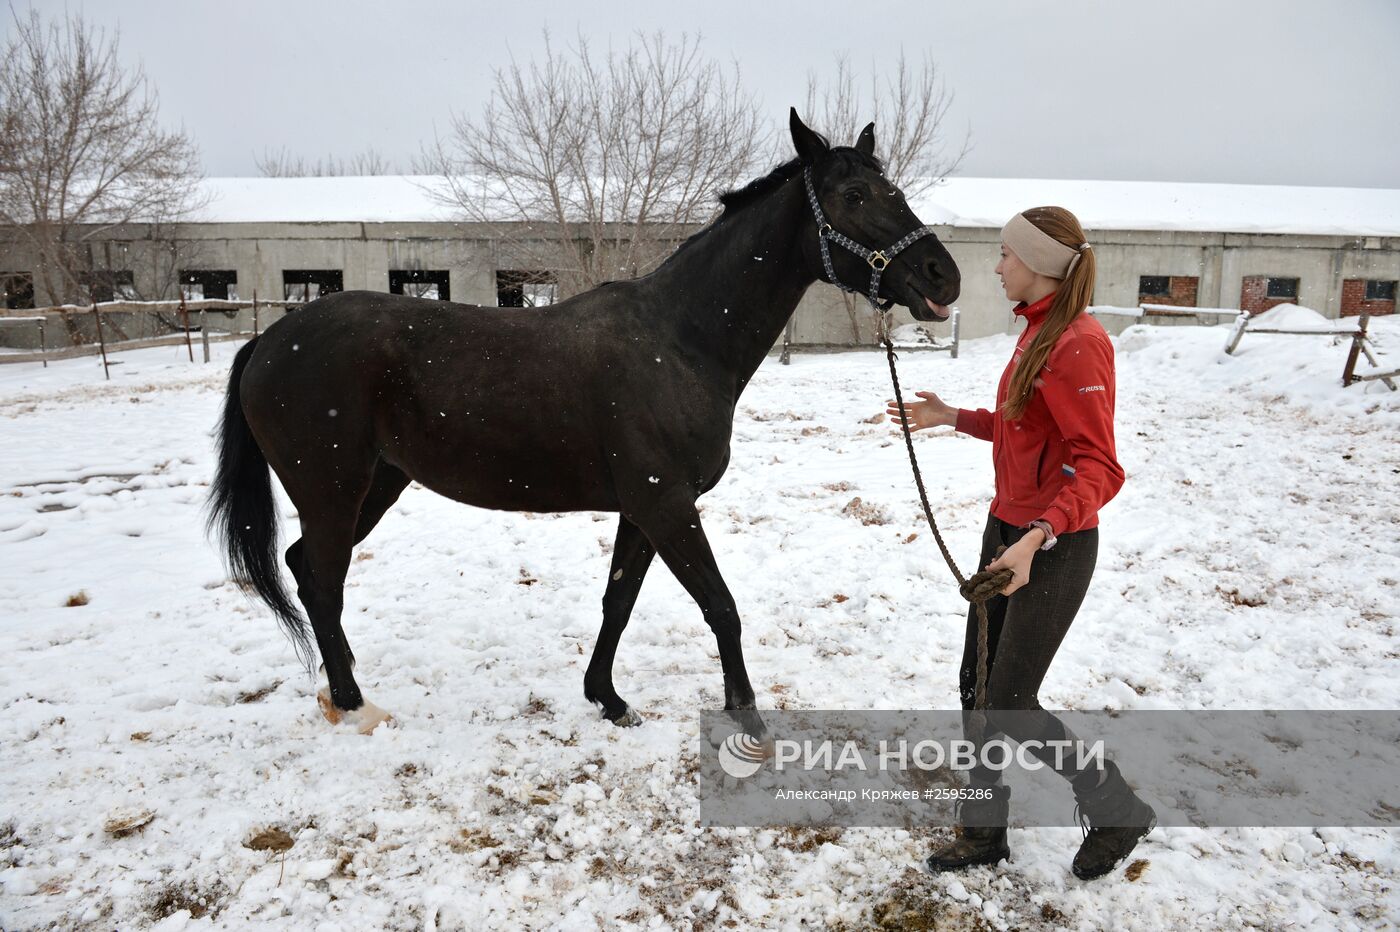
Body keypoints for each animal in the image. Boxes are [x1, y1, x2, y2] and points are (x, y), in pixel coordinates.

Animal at [207, 110, 963, 733]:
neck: (680, 339)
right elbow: (720, 605)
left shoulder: (642, 509)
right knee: (321, 579)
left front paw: (608, 698)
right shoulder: (666, 504)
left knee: (307, 569)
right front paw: (744, 716)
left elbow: (618, 601)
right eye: (853, 196)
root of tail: (268, 342)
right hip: (333, 491)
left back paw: (345, 688)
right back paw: (354, 703)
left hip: (375, 486)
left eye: (891, 187)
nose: (942, 277)